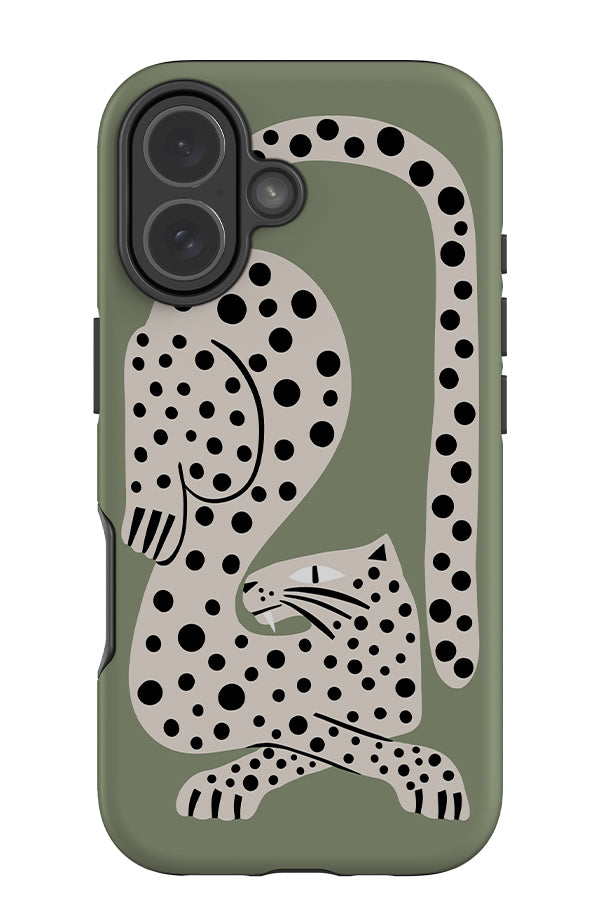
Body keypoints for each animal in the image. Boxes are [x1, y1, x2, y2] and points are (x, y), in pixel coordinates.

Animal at [122, 115, 480, 823]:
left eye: (315, 570)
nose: (255, 588)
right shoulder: (278, 708)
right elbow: (320, 737)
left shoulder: (364, 712)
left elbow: (335, 743)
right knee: (144, 356)